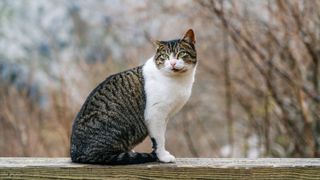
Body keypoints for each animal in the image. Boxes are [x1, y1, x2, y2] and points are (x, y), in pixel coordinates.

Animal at [70, 28, 198, 165]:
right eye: (165, 57)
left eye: (181, 53)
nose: (173, 63)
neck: (179, 81)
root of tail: (74, 153)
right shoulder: (155, 115)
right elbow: (159, 139)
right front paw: (163, 156)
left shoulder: (165, 116)